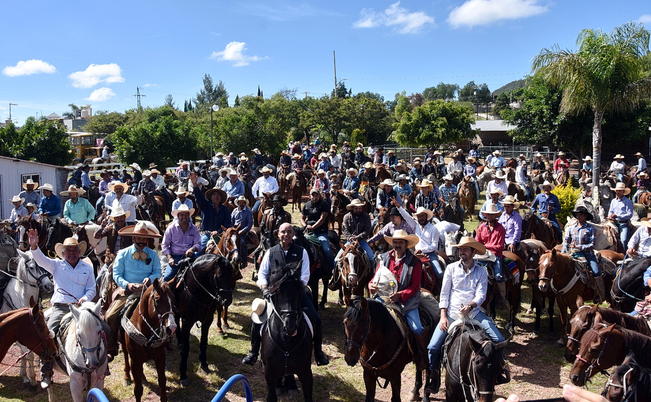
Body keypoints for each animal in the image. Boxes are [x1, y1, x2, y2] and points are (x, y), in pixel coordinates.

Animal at [0, 251, 52, 386]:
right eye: (32, 267)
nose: (49, 285)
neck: (21, 297)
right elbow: (28, 354)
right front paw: (32, 378)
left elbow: (24, 354)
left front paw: (24, 376)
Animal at [174, 254, 236, 386]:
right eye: (219, 276)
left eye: (233, 275)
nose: (227, 301)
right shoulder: (187, 321)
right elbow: (186, 348)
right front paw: (183, 375)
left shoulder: (207, 320)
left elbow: (203, 342)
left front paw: (204, 364)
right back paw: (179, 342)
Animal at [260, 268, 314, 400]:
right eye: (278, 292)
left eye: (299, 292)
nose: (290, 326)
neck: (286, 341)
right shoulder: (269, 372)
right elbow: (272, 397)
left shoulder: (306, 371)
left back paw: (291, 385)